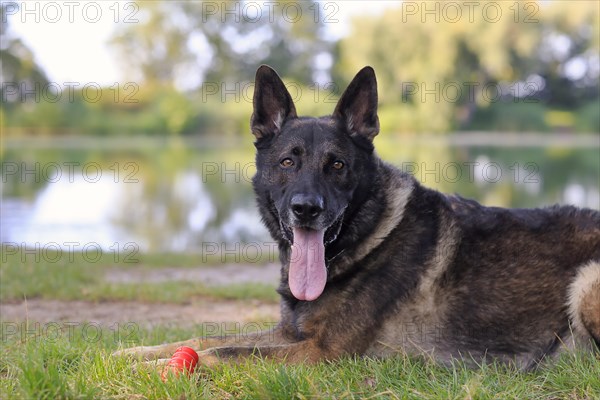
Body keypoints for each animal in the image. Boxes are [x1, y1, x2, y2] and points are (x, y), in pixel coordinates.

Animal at [117, 65, 600, 368]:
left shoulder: (318, 352)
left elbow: (223, 354)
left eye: (337, 165)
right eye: (288, 162)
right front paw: (129, 354)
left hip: (586, 281)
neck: (367, 240)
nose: (306, 209)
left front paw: (152, 368)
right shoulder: (291, 334)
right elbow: (204, 339)